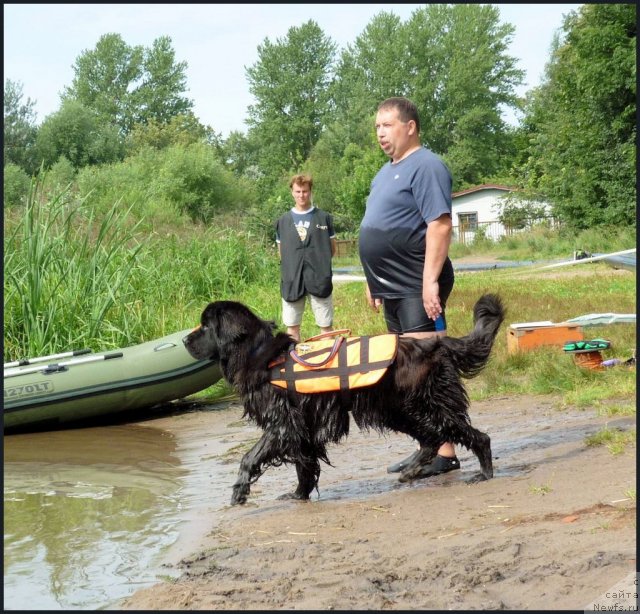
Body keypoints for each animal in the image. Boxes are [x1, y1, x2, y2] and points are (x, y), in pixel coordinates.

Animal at [182, 296, 502, 508]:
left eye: (205, 326)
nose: (184, 341)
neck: (258, 354)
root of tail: (435, 343)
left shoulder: (283, 425)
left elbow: (249, 457)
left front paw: (239, 491)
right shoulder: (303, 428)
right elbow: (304, 465)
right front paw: (298, 494)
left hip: (422, 404)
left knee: (470, 436)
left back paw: (484, 473)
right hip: (396, 409)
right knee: (432, 439)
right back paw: (412, 470)